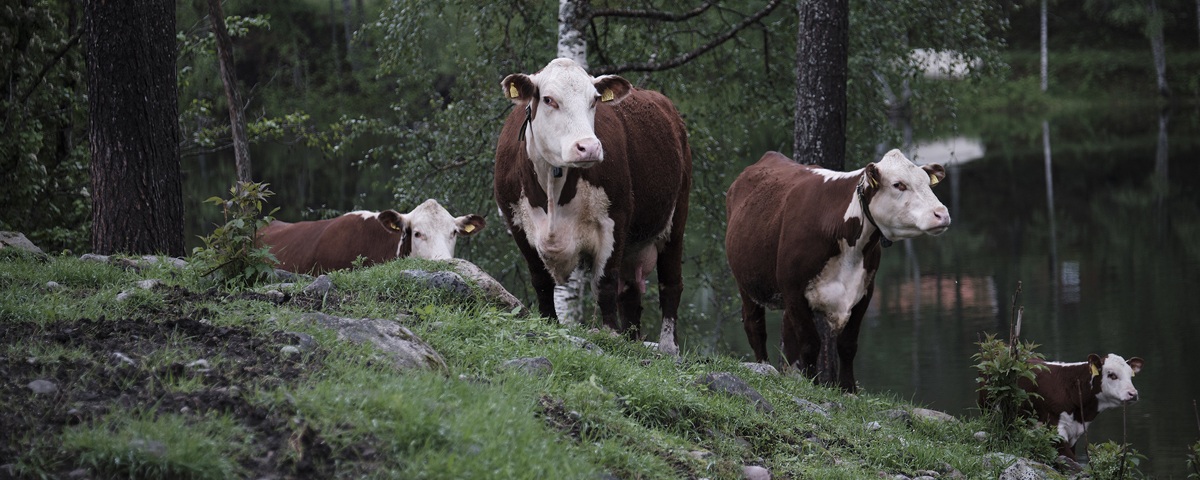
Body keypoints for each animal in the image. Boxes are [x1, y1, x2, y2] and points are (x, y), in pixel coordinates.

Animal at [492, 58, 691, 350]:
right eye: (549, 99)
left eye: (594, 99)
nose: (589, 147)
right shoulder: (516, 222)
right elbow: (541, 279)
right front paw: (548, 321)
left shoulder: (616, 218)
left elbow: (605, 280)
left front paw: (609, 332)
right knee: (630, 292)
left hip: (676, 217)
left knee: (670, 283)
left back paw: (668, 346)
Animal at [720, 151, 945, 393]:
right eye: (898, 184)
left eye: (927, 182)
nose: (942, 214)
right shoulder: (793, 290)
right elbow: (810, 342)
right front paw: (814, 383)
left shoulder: (865, 290)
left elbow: (848, 344)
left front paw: (848, 389)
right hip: (746, 283)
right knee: (755, 327)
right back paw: (764, 366)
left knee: (787, 331)